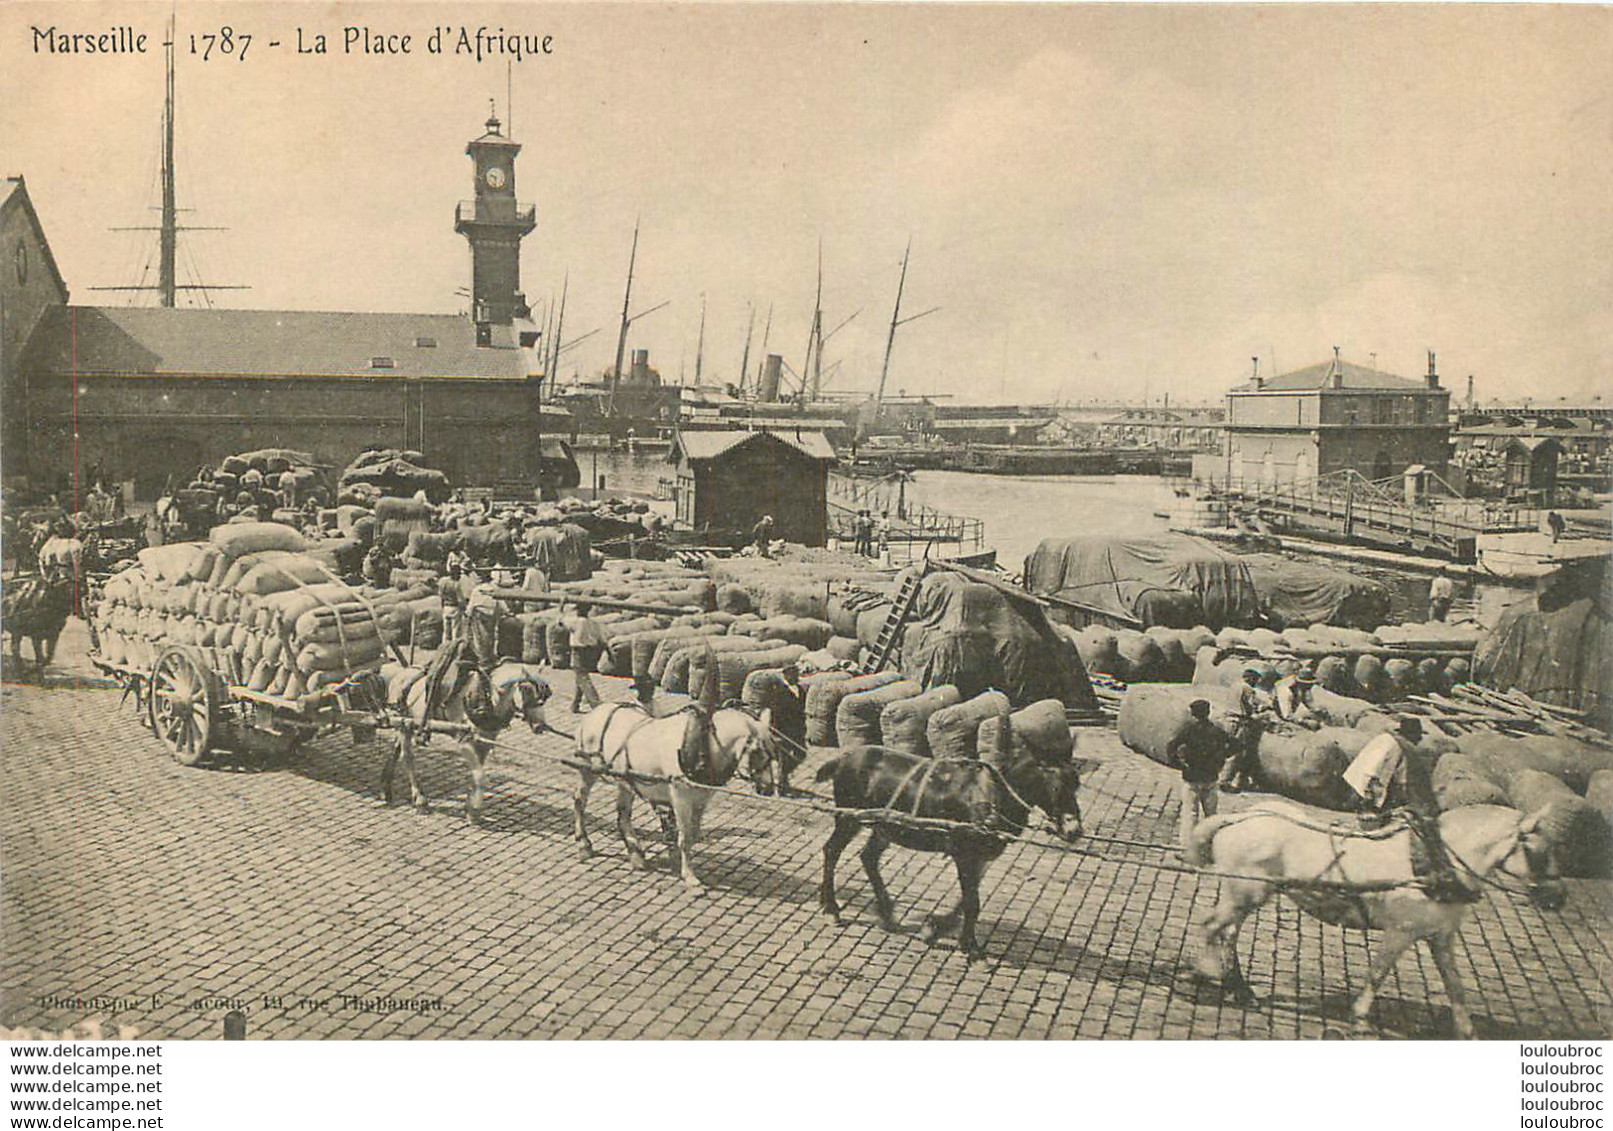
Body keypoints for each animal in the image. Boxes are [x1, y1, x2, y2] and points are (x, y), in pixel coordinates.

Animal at [379, 651, 551, 819]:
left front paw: (470, 807)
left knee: (397, 748)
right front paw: (474, 809)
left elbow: (476, 774)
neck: (486, 699)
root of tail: (400, 673)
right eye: (526, 689)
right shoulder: (465, 740)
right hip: (404, 723)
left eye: (545, 696)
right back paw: (420, 800)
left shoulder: (486, 742)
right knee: (407, 757)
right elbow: (480, 776)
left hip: (404, 723)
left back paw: (386, 787)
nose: (540, 726)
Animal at [574, 696, 774, 890]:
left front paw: (679, 861)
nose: (768, 788)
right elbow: (685, 837)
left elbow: (693, 834)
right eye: (756, 750)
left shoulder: (701, 799)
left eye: (772, 750)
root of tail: (593, 713)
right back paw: (584, 843)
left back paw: (636, 855)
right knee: (579, 802)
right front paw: (689, 876)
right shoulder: (681, 798)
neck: (703, 745)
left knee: (623, 814)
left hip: (626, 780)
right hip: (588, 770)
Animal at [819, 742, 1083, 961]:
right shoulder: (964, 853)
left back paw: (887, 913)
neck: (991, 796)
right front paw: (972, 948)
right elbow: (972, 902)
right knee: (832, 850)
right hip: (849, 817)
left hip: (884, 826)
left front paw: (938, 927)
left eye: (1076, 783)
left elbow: (967, 900)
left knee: (869, 858)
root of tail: (844, 758)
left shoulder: (979, 856)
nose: (1074, 830)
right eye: (1057, 786)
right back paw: (831, 908)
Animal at [1187, 803, 1561, 1032]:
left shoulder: (1441, 938)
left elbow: (1455, 986)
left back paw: (1239, 989)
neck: (1432, 864)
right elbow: (1378, 973)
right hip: (1244, 894)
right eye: (1537, 852)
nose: (1559, 898)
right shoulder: (1400, 932)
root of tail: (1241, 816)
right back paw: (1205, 973)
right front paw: (1360, 1016)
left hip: (1246, 896)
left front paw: (1467, 1031)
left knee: (1227, 934)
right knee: (1211, 928)